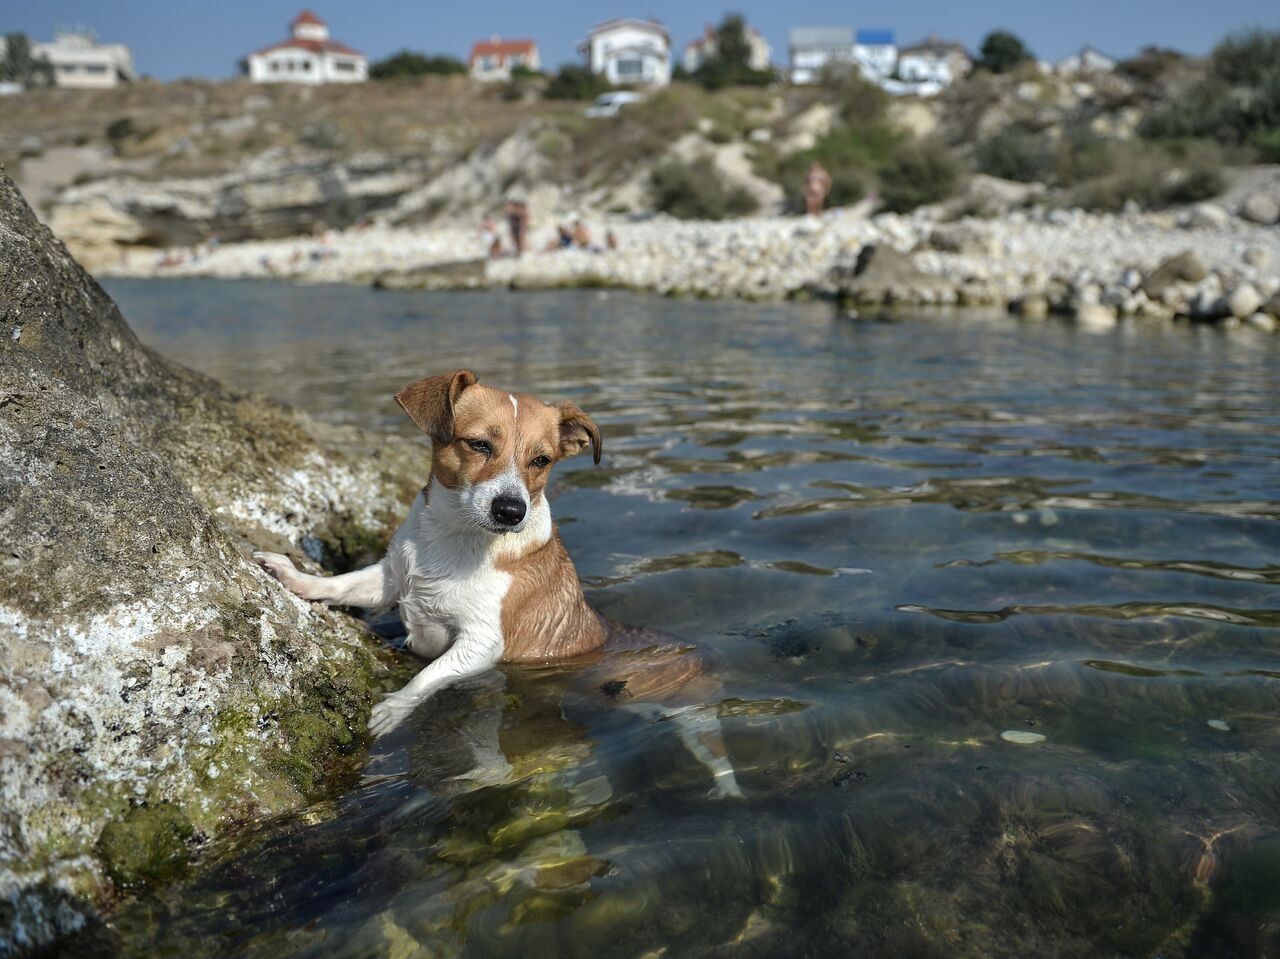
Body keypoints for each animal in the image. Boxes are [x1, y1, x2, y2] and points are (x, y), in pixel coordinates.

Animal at [252, 371, 742, 798]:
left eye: (541, 460)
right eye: (479, 444)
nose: (511, 510)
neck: (455, 540)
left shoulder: (481, 643)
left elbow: (429, 678)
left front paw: (393, 709)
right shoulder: (390, 581)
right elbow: (340, 584)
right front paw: (294, 576)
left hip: (691, 714)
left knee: (714, 751)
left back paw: (728, 790)